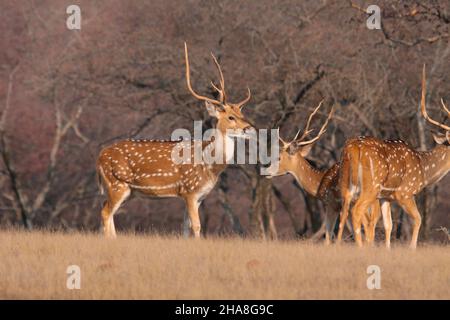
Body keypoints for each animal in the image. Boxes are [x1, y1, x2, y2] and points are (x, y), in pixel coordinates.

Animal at [95, 43, 255, 238]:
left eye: (241, 113)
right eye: (231, 117)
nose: (250, 128)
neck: (209, 166)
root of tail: (99, 157)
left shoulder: (198, 196)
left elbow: (185, 228)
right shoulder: (190, 190)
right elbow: (197, 226)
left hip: (127, 191)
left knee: (107, 212)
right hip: (117, 183)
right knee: (105, 212)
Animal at [340, 66, 448, 249]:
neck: (423, 171)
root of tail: (353, 148)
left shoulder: (386, 196)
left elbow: (388, 225)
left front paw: (388, 249)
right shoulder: (404, 193)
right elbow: (418, 219)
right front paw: (412, 249)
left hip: (346, 185)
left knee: (343, 212)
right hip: (370, 187)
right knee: (356, 211)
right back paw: (360, 247)